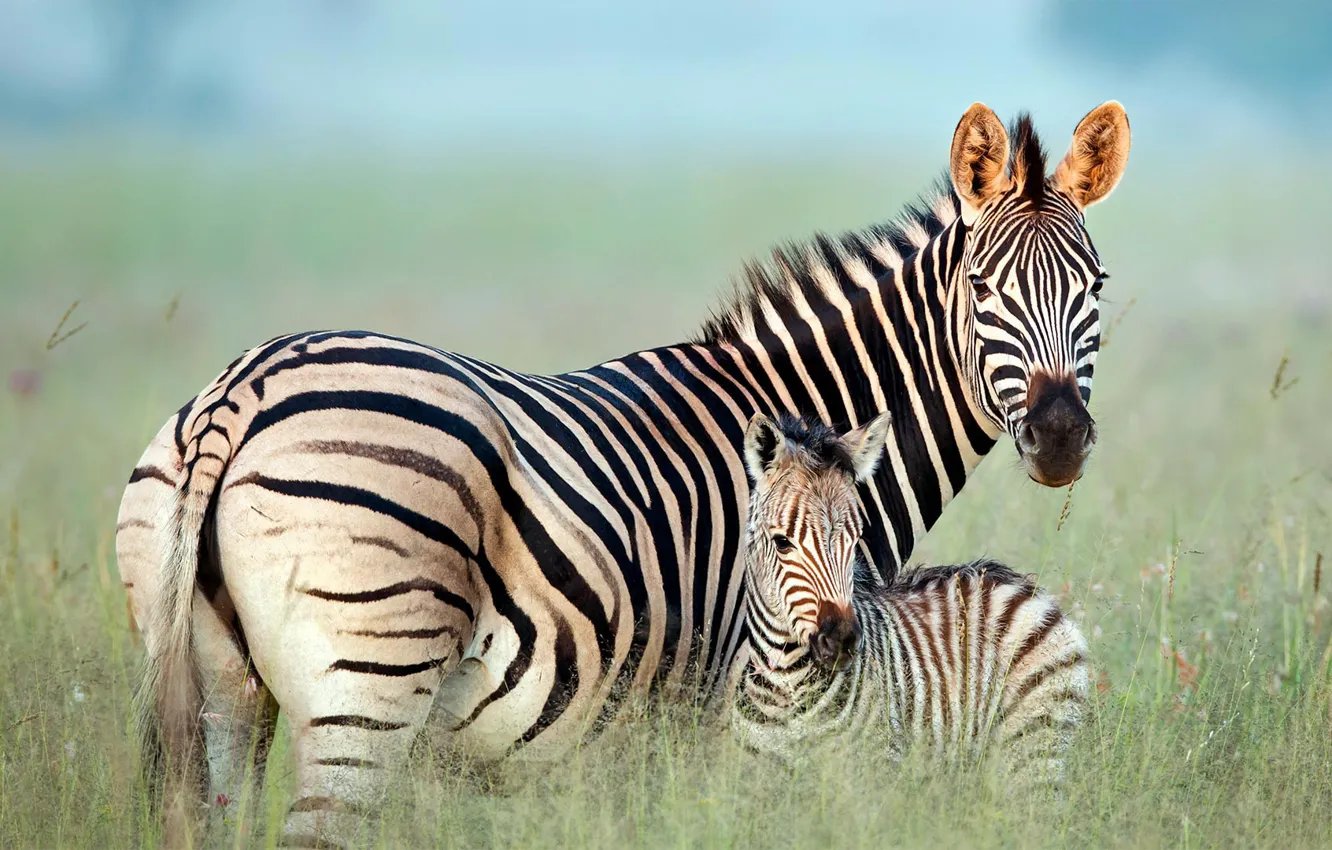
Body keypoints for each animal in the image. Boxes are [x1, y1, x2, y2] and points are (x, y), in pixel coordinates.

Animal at [732, 412, 1089, 784]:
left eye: (855, 539)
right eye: (782, 542)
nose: (843, 640)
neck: (785, 681)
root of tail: (1020, 583)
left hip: (1035, 748)